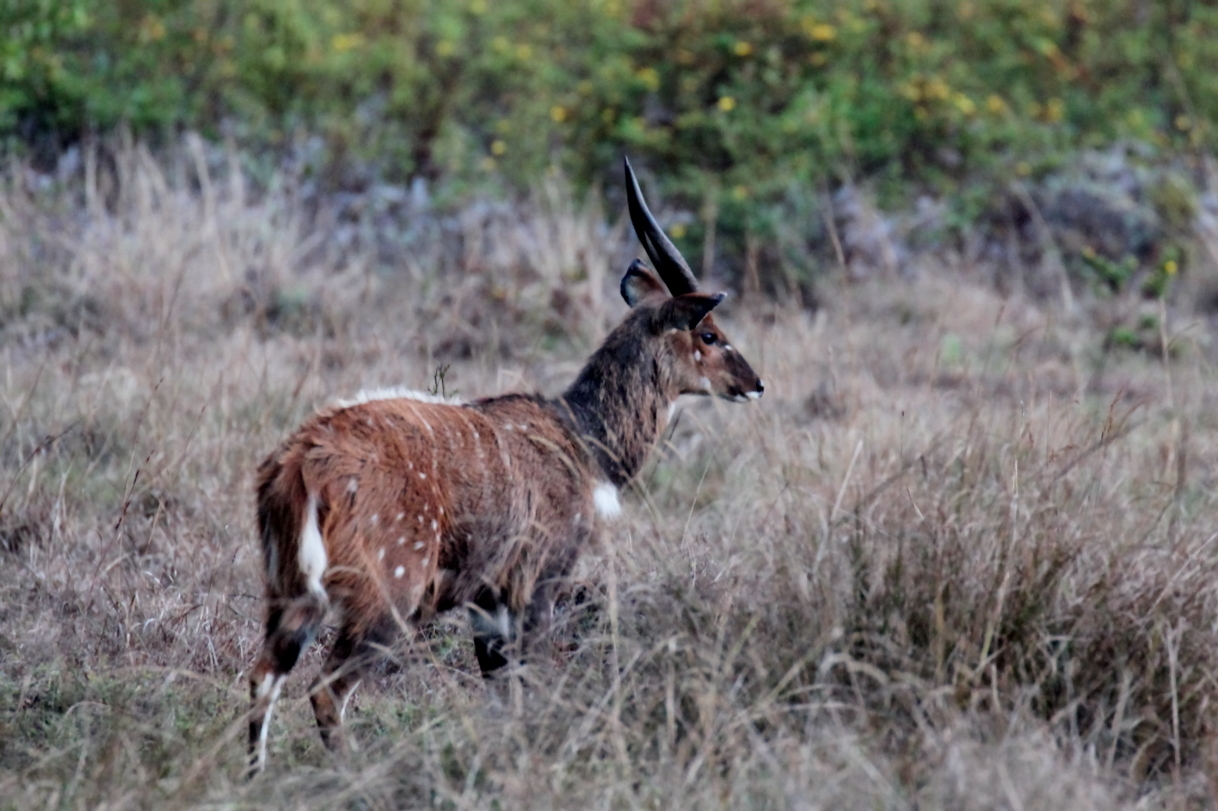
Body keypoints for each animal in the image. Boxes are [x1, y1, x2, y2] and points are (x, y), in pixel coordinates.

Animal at [244, 158, 760, 769]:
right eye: (711, 333)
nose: (755, 383)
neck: (582, 440)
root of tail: (300, 464)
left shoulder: (485, 602)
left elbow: (498, 689)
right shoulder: (537, 580)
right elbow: (529, 682)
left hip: (289, 591)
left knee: (262, 678)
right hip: (387, 592)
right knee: (326, 689)